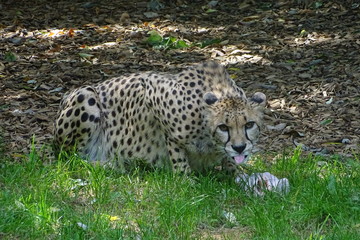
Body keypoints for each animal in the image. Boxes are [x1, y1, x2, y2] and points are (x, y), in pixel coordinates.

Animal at [54, 61, 268, 174]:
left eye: (249, 124)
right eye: (223, 127)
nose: (239, 147)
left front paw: (238, 174)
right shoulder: (152, 88)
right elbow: (176, 151)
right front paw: (186, 181)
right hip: (86, 95)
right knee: (70, 159)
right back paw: (108, 163)